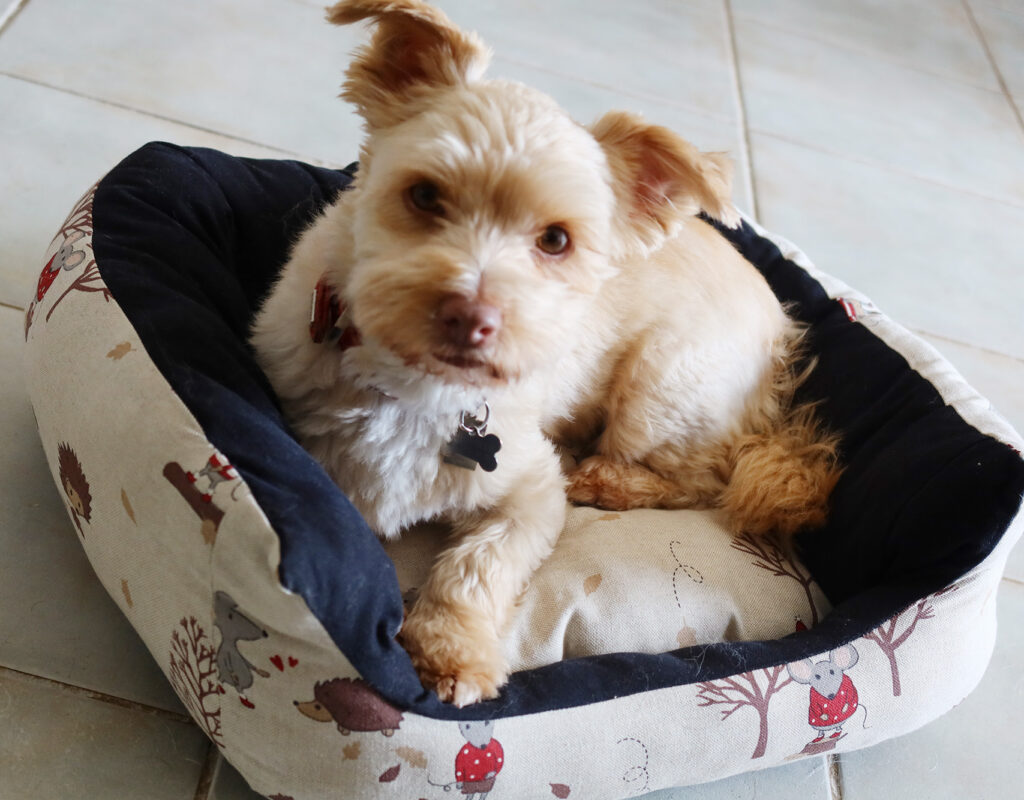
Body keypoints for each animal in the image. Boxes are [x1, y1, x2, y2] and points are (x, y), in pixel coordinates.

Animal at [247, 1, 839, 712]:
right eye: (425, 195)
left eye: (556, 240)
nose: (471, 317)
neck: (419, 386)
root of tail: (783, 329)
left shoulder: (531, 490)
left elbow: (479, 565)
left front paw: (453, 649)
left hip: (662, 385)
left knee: (707, 478)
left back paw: (610, 479)